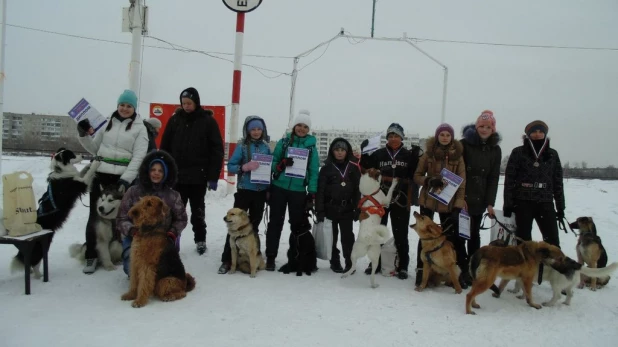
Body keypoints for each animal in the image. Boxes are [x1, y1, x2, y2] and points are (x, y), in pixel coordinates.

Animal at [10, 148, 98, 278]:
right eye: (72, 155)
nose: (83, 156)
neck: (62, 171)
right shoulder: (81, 184)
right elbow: (88, 174)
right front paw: (96, 163)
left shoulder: (78, 178)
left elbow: (82, 172)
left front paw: (89, 164)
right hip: (42, 245)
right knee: (35, 262)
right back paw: (39, 276)